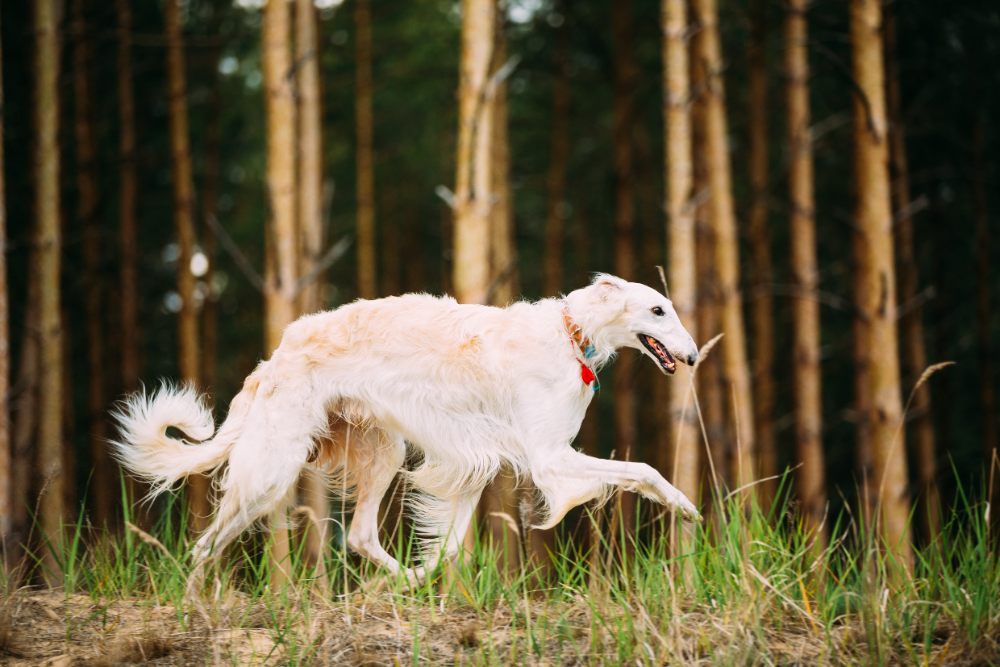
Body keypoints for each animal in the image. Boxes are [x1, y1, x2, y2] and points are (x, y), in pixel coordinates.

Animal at [111, 274, 704, 580]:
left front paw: (430, 575)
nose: (694, 356)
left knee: (359, 535)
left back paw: (402, 582)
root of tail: (273, 359)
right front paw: (686, 508)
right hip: (272, 469)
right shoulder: (549, 456)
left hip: (383, 452)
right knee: (204, 547)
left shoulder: (479, 458)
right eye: (658, 310)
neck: (570, 334)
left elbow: (450, 544)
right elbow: (642, 469)